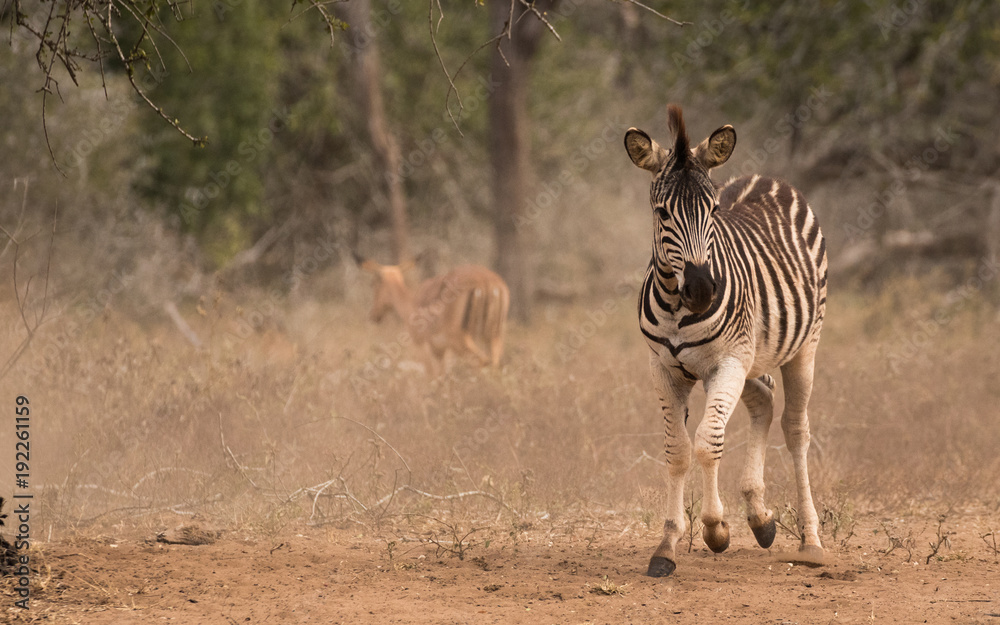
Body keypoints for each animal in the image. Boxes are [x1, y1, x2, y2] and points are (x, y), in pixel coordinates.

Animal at [623, 105, 828, 577]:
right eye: (662, 213)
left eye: (714, 210)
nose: (701, 290)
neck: (678, 308)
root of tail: (770, 178)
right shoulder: (663, 368)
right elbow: (677, 450)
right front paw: (667, 545)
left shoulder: (728, 363)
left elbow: (707, 442)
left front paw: (716, 529)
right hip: (753, 356)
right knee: (764, 402)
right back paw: (760, 517)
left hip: (802, 346)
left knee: (796, 429)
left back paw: (810, 541)